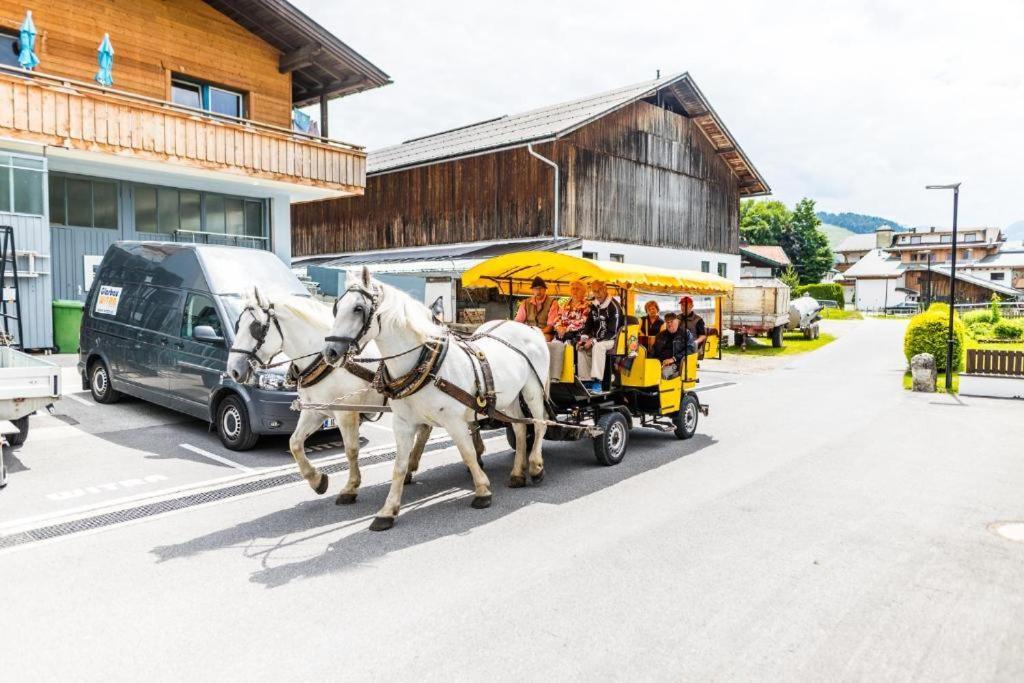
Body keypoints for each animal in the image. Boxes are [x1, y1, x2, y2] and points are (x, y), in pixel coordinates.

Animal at [224, 290, 432, 505]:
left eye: (256, 328)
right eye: (238, 324)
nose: (233, 370)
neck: (323, 360)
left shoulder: (346, 413)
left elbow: (351, 450)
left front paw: (350, 487)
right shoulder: (315, 411)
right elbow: (295, 443)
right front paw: (317, 480)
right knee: (425, 429)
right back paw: (410, 466)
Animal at [325, 270, 552, 532]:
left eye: (358, 309)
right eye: (337, 307)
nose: (330, 352)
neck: (424, 365)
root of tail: (529, 328)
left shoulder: (454, 421)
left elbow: (467, 453)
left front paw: (482, 491)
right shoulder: (403, 424)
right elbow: (399, 466)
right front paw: (387, 511)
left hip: (532, 388)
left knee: (539, 424)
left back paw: (536, 466)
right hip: (510, 397)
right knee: (519, 427)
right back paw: (517, 474)